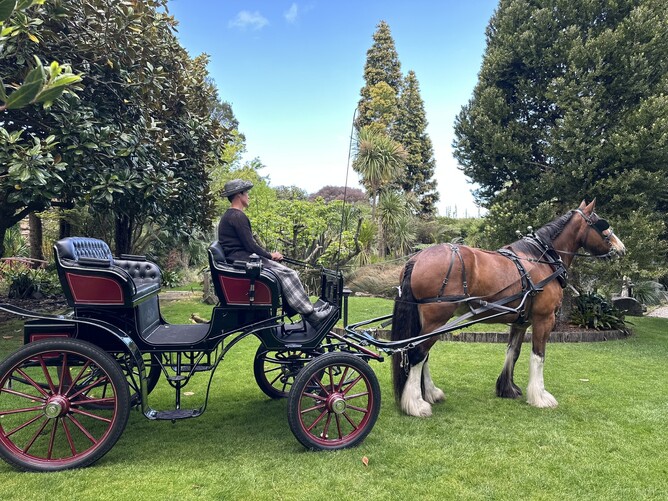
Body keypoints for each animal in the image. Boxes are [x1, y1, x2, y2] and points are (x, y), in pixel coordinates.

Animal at [390, 199, 626, 417]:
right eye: (602, 224)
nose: (621, 249)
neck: (541, 260)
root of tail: (417, 258)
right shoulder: (544, 318)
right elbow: (538, 356)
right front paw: (540, 396)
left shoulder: (521, 321)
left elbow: (513, 352)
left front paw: (507, 388)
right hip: (436, 319)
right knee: (418, 353)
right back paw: (416, 404)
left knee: (423, 354)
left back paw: (430, 393)